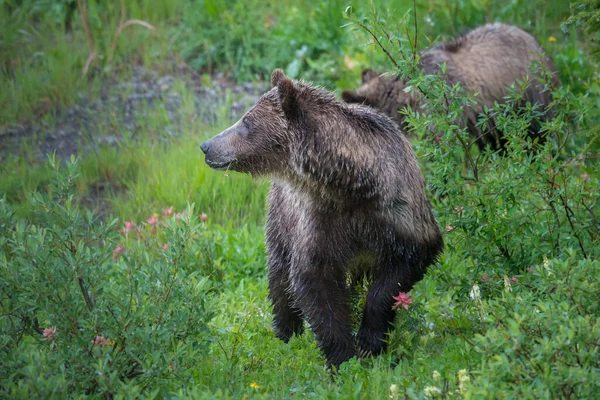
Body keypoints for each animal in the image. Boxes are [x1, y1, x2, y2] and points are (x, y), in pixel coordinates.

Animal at [199, 69, 442, 368]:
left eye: (246, 121)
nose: (206, 146)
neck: (350, 185)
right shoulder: (318, 219)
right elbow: (315, 281)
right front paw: (342, 357)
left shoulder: (396, 211)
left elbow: (401, 269)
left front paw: (369, 342)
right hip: (281, 219)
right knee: (279, 278)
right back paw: (285, 333)